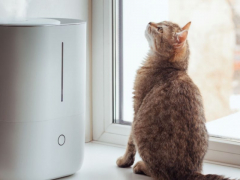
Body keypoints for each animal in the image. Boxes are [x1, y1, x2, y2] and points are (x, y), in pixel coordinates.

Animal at [116, 21, 232, 180]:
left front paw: (124, 161)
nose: (149, 22)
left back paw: (141, 166)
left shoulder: (137, 106)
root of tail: (190, 172)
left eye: (159, 29)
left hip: (140, 129)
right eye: (159, 22)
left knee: (158, 173)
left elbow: (130, 143)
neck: (173, 68)